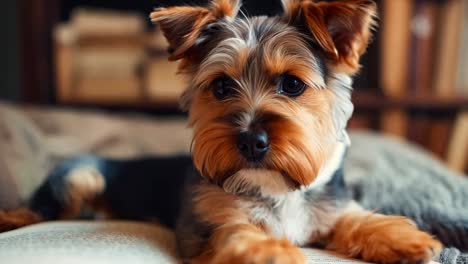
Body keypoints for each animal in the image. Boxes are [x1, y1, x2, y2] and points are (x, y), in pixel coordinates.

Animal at [0, 0, 442, 264]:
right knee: (36, 208)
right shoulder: (207, 224)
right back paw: (11, 217)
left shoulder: (329, 208)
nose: (250, 139)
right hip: (80, 175)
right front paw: (271, 251)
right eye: (221, 87)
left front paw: (403, 239)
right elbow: (235, 232)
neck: (277, 187)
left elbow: (353, 218)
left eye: (292, 85)